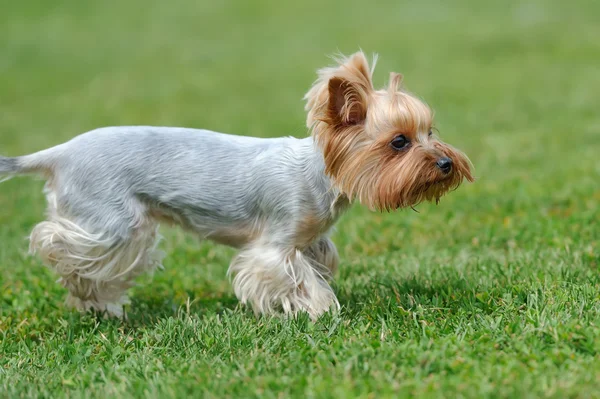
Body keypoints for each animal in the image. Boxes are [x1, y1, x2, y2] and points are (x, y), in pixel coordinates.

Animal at [0, 53, 474, 320]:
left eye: (431, 132)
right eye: (399, 142)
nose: (447, 163)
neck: (320, 175)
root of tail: (58, 153)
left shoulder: (309, 240)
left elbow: (316, 264)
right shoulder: (276, 245)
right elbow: (294, 279)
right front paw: (319, 312)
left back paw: (99, 303)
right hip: (112, 221)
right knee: (57, 241)